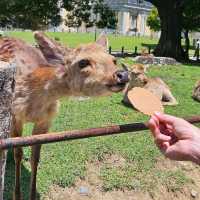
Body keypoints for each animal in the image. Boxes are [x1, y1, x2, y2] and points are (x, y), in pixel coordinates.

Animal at [0, 32, 129, 199]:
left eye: (113, 59)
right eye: (83, 62)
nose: (122, 74)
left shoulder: (45, 121)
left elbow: (36, 157)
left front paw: (33, 194)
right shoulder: (16, 116)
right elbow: (18, 153)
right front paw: (17, 195)